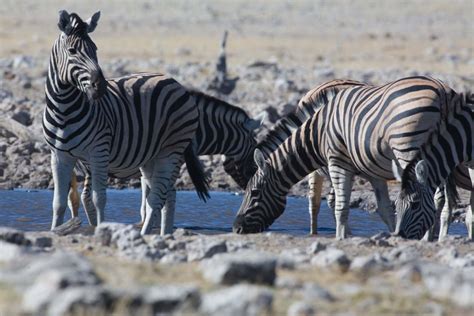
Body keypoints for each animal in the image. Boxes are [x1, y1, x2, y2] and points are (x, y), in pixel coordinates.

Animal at [44, 10, 207, 235]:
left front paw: (100, 230)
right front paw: (55, 231)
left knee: (157, 198)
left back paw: (146, 234)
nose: (101, 87)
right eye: (72, 51)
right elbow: (58, 203)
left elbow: (99, 198)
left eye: (95, 49)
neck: (64, 110)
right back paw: (165, 234)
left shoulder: (99, 151)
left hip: (172, 149)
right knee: (168, 195)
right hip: (152, 156)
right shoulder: (59, 155)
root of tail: (175, 82)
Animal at [69, 90, 266, 235]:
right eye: (254, 145)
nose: (248, 185)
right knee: (85, 197)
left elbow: (149, 197)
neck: (198, 127)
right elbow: (158, 196)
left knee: (77, 196)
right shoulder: (171, 161)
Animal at [233, 77, 460, 239]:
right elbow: (385, 209)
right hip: (444, 153)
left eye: (254, 193)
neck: (317, 133)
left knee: (431, 194)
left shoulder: (336, 163)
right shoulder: (372, 172)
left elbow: (334, 205)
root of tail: (442, 90)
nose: (236, 228)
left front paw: (338, 237)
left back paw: (428, 236)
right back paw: (435, 235)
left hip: (410, 150)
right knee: (443, 198)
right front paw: (394, 234)